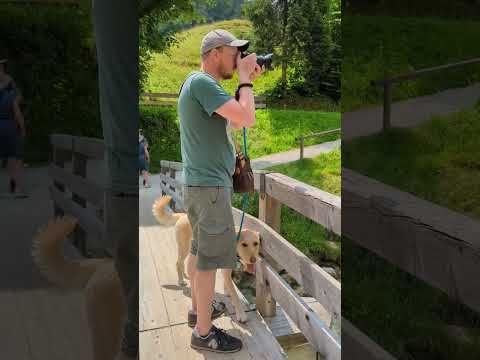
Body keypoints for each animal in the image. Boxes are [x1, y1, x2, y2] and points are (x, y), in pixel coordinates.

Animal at [153, 194, 258, 324]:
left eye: (256, 243)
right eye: (244, 244)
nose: (254, 260)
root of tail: (182, 215)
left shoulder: (227, 269)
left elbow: (227, 284)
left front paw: (227, 292)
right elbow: (234, 294)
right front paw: (241, 314)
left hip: (192, 250)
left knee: (184, 264)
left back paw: (186, 276)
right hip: (184, 248)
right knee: (178, 263)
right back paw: (181, 280)